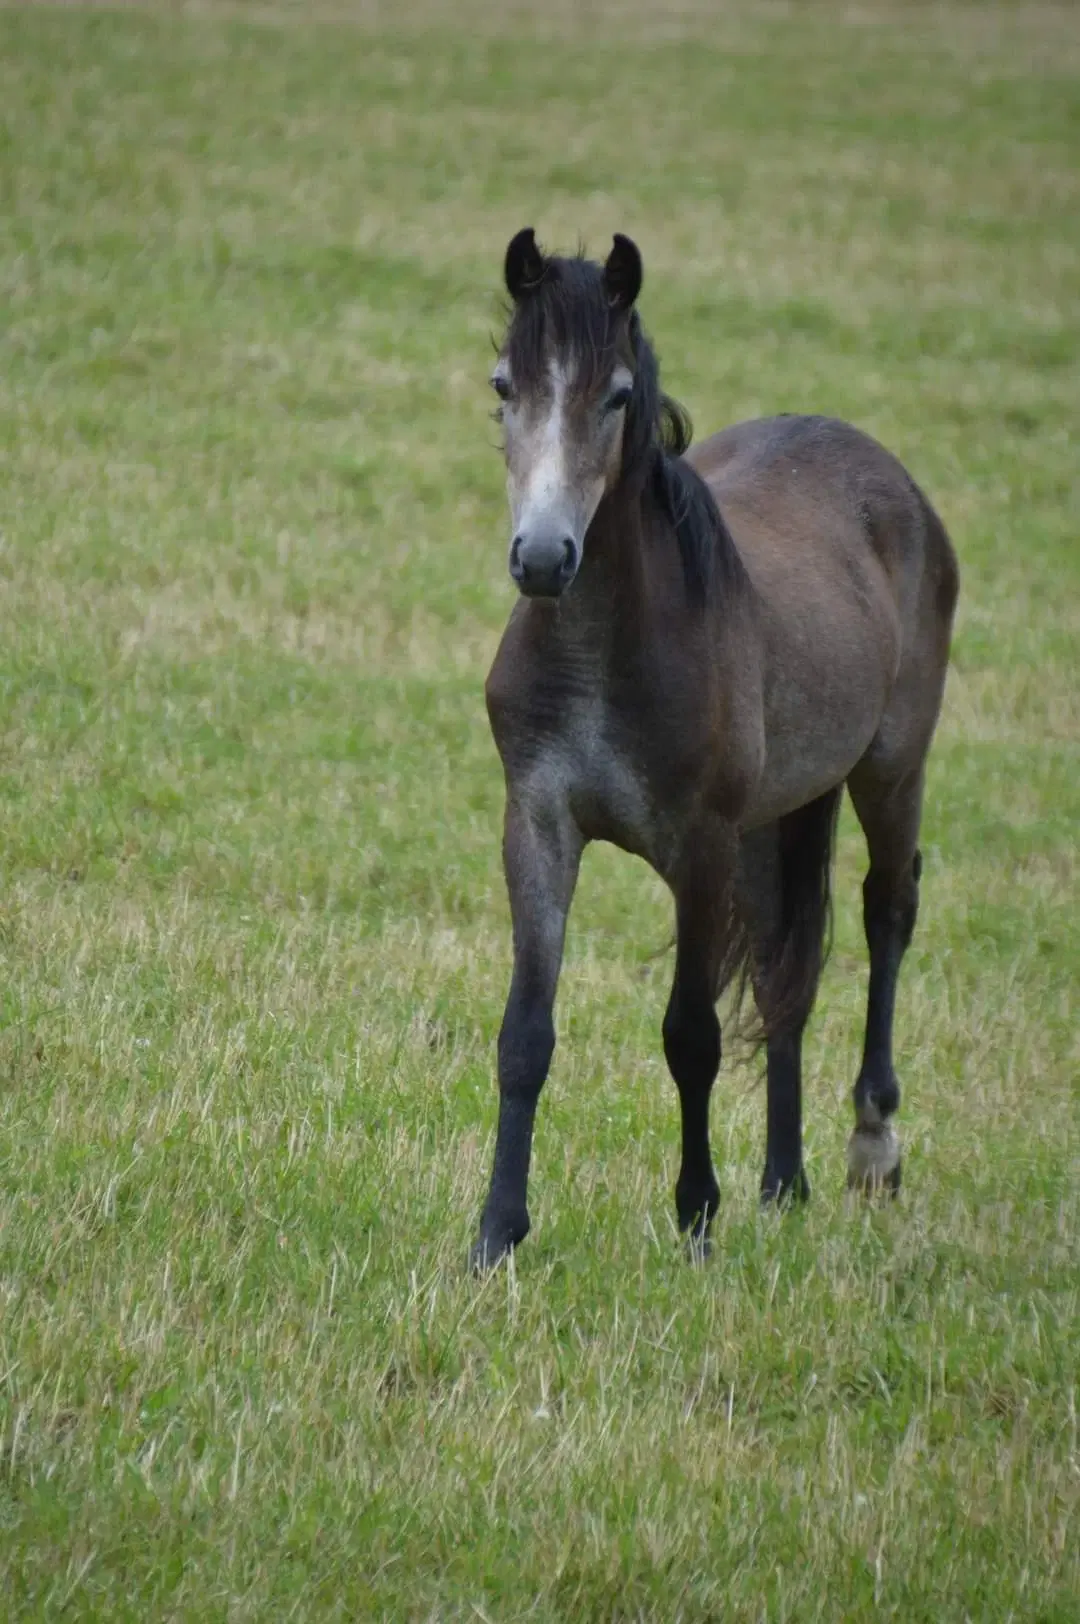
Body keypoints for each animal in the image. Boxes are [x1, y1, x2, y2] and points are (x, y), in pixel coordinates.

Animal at [467, 225, 954, 1266]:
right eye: (503, 385)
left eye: (616, 395)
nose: (543, 560)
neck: (605, 650)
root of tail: (893, 482)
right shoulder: (538, 824)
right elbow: (526, 1034)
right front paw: (495, 1235)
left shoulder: (701, 852)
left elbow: (689, 1035)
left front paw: (695, 1215)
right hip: (783, 814)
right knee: (784, 971)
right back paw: (783, 1181)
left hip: (891, 767)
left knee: (887, 911)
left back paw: (871, 1146)